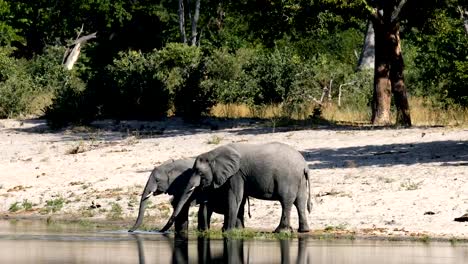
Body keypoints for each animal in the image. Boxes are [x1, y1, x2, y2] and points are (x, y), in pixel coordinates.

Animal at [163, 142, 312, 233]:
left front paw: (228, 231)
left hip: (288, 178)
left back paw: (280, 231)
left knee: (286, 201)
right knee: (300, 201)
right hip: (299, 180)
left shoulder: (236, 174)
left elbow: (235, 197)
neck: (215, 153)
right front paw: (238, 231)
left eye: (199, 172)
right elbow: (240, 199)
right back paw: (303, 231)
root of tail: (304, 165)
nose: (162, 231)